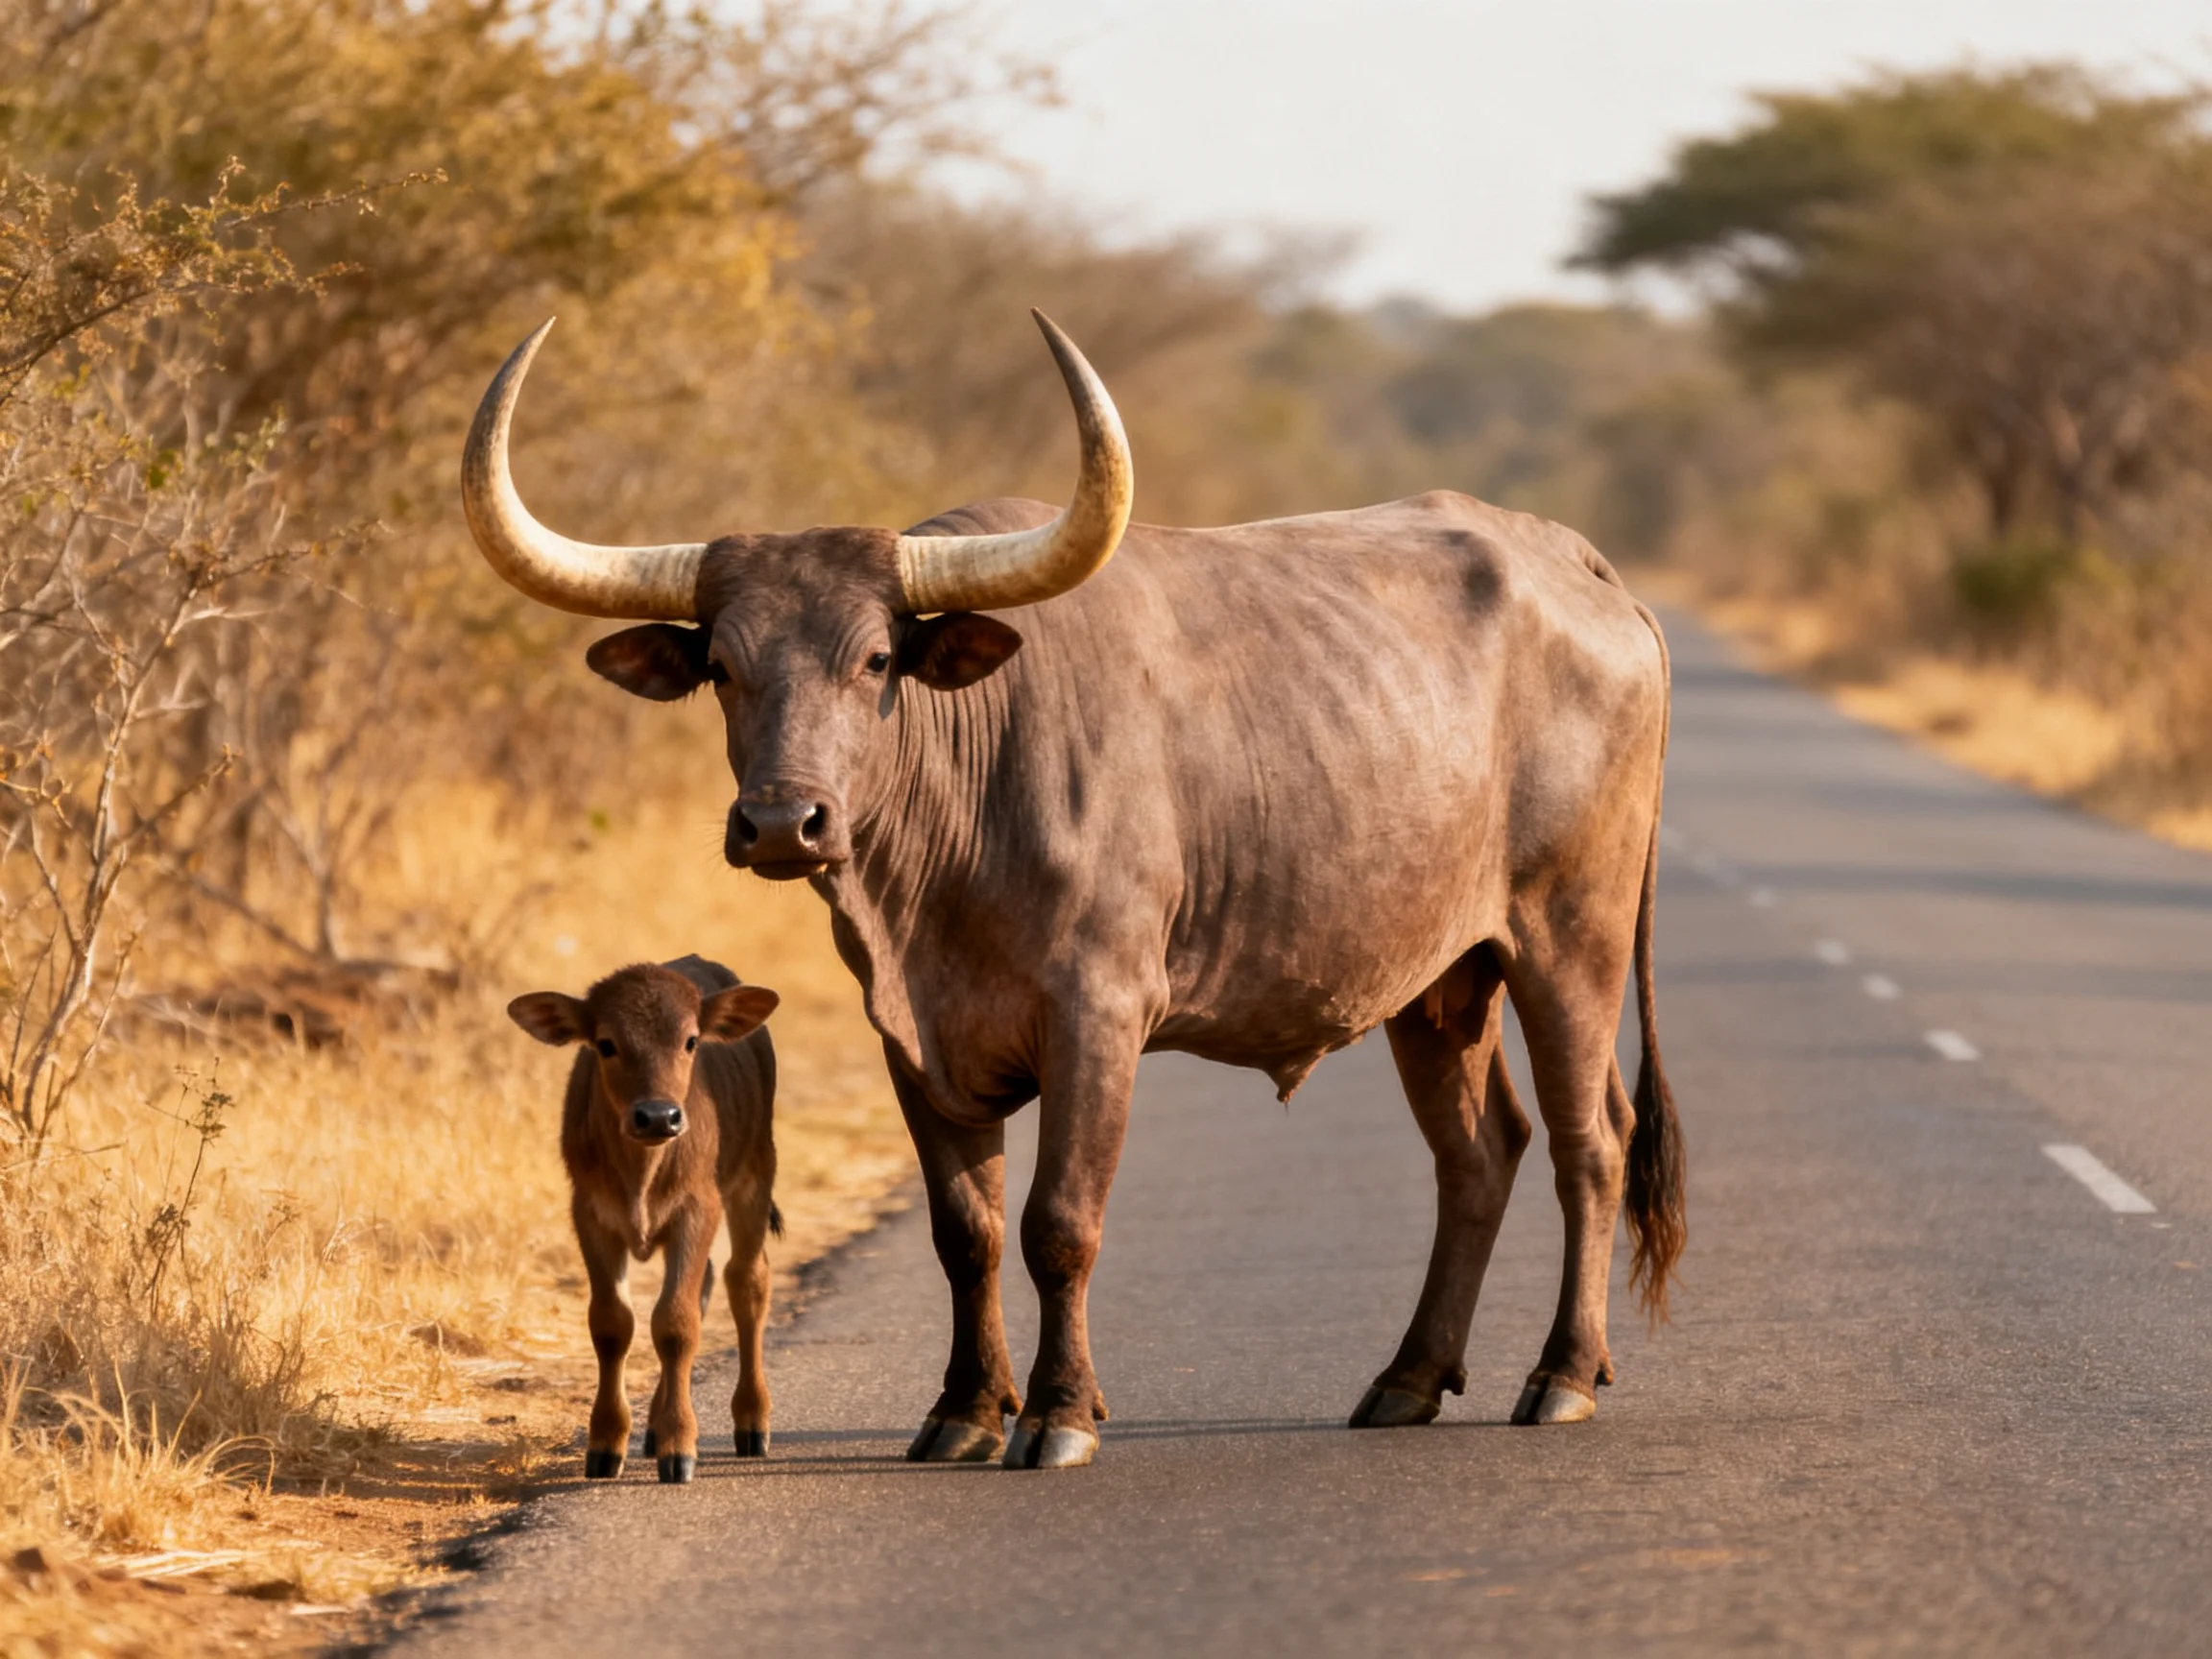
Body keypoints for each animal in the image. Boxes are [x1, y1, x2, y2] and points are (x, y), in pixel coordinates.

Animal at [508, 955, 781, 1483]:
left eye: (691, 1040)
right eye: (606, 1043)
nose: (658, 1116)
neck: (643, 1169)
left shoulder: (698, 1209)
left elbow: (675, 1325)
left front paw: (679, 1447)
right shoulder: (591, 1215)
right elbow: (612, 1324)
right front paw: (606, 1442)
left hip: (755, 1177)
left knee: (747, 1283)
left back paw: (752, 1421)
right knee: (707, 1285)